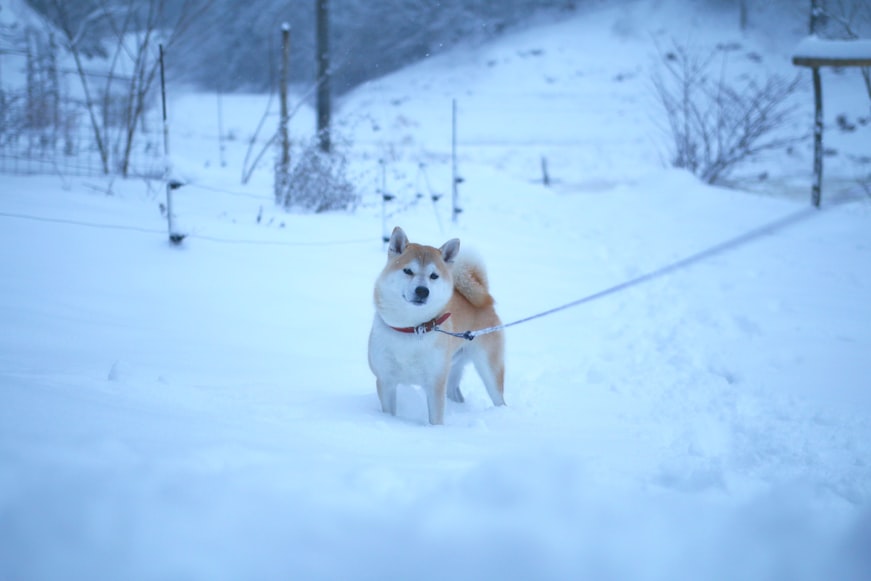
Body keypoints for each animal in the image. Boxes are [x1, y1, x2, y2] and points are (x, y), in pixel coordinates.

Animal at [366, 224, 504, 424]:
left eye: (434, 276)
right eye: (408, 271)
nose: (422, 291)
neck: (412, 328)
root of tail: (484, 299)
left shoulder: (435, 383)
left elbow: (435, 419)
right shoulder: (386, 381)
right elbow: (388, 411)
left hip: (489, 368)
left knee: (499, 398)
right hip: (453, 368)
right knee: (455, 392)